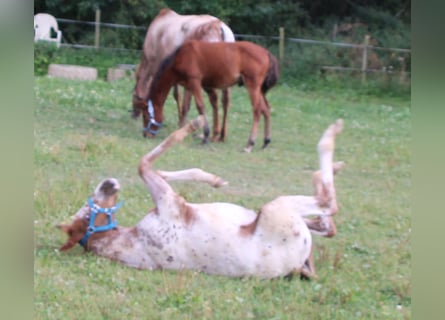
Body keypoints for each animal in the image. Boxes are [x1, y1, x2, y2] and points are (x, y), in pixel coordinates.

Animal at [57, 116, 344, 278]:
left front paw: (214, 179)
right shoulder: (171, 203)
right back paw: (331, 137)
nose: (107, 183)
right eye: (86, 209)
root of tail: (297, 266)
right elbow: (144, 163)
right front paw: (195, 124)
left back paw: (333, 166)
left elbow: (159, 168)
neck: (131, 241)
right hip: (277, 208)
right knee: (328, 204)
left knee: (328, 224)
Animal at [133, 8, 234, 141]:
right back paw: (221, 135)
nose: (133, 114)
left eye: (134, 95)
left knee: (214, 99)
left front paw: (181, 124)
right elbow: (186, 103)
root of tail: (220, 27)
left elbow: (177, 96)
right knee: (225, 100)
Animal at [140, 40, 280, 152]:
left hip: (253, 86)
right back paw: (266, 141)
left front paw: (205, 136)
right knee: (266, 109)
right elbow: (189, 107)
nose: (146, 135)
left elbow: (200, 107)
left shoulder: (195, 82)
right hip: (260, 90)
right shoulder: (194, 86)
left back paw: (250, 144)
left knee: (257, 110)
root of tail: (266, 52)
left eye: (146, 115)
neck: (180, 56)